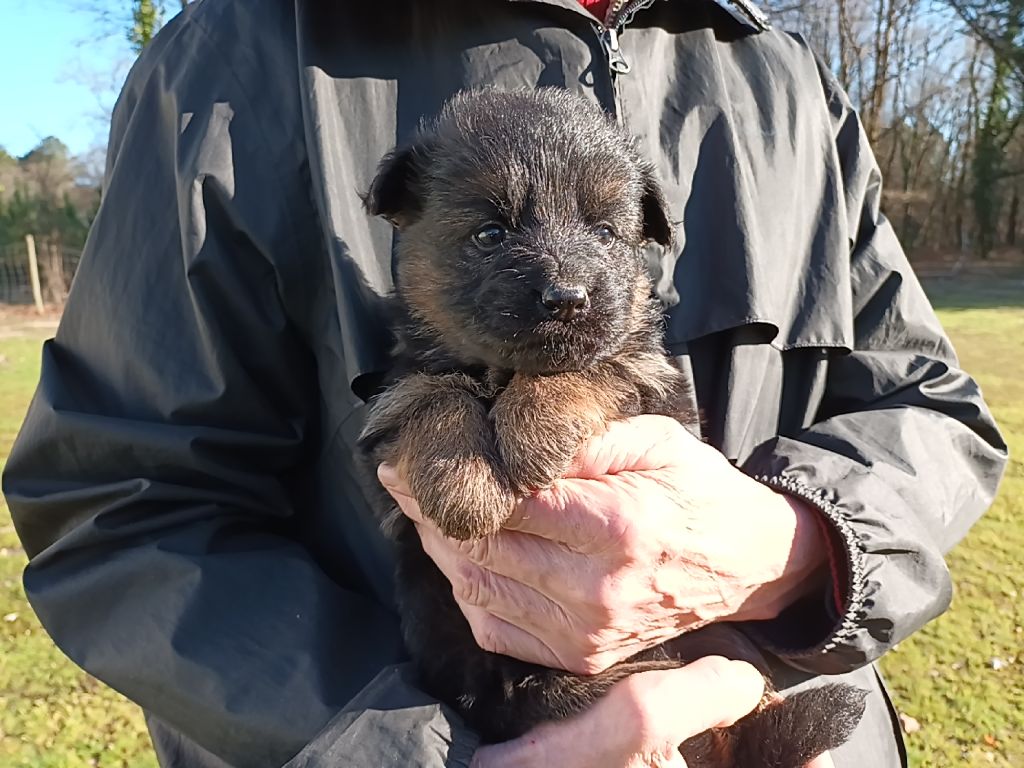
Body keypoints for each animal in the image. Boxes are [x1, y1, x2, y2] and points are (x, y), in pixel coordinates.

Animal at [360, 88, 864, 768]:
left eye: (604, 232)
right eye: (489, 234)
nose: (568, 297)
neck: (502, 372)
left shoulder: (655, 386)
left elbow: (591, 368)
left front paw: (531, 426)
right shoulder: (387, 421)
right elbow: (430, 395)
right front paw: (462, 484)